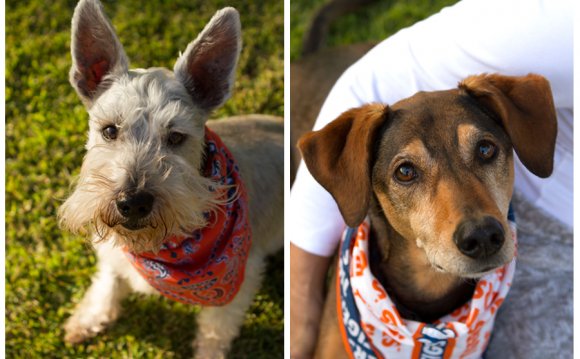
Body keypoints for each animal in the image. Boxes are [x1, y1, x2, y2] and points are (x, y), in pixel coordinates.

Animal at [58, 1, 284, 358]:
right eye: (109, 130)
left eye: (176, 137)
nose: (132, 202)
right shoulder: (112, 255)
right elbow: (106, 284)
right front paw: (86, 320)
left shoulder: (241, 280)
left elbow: (215, 332)